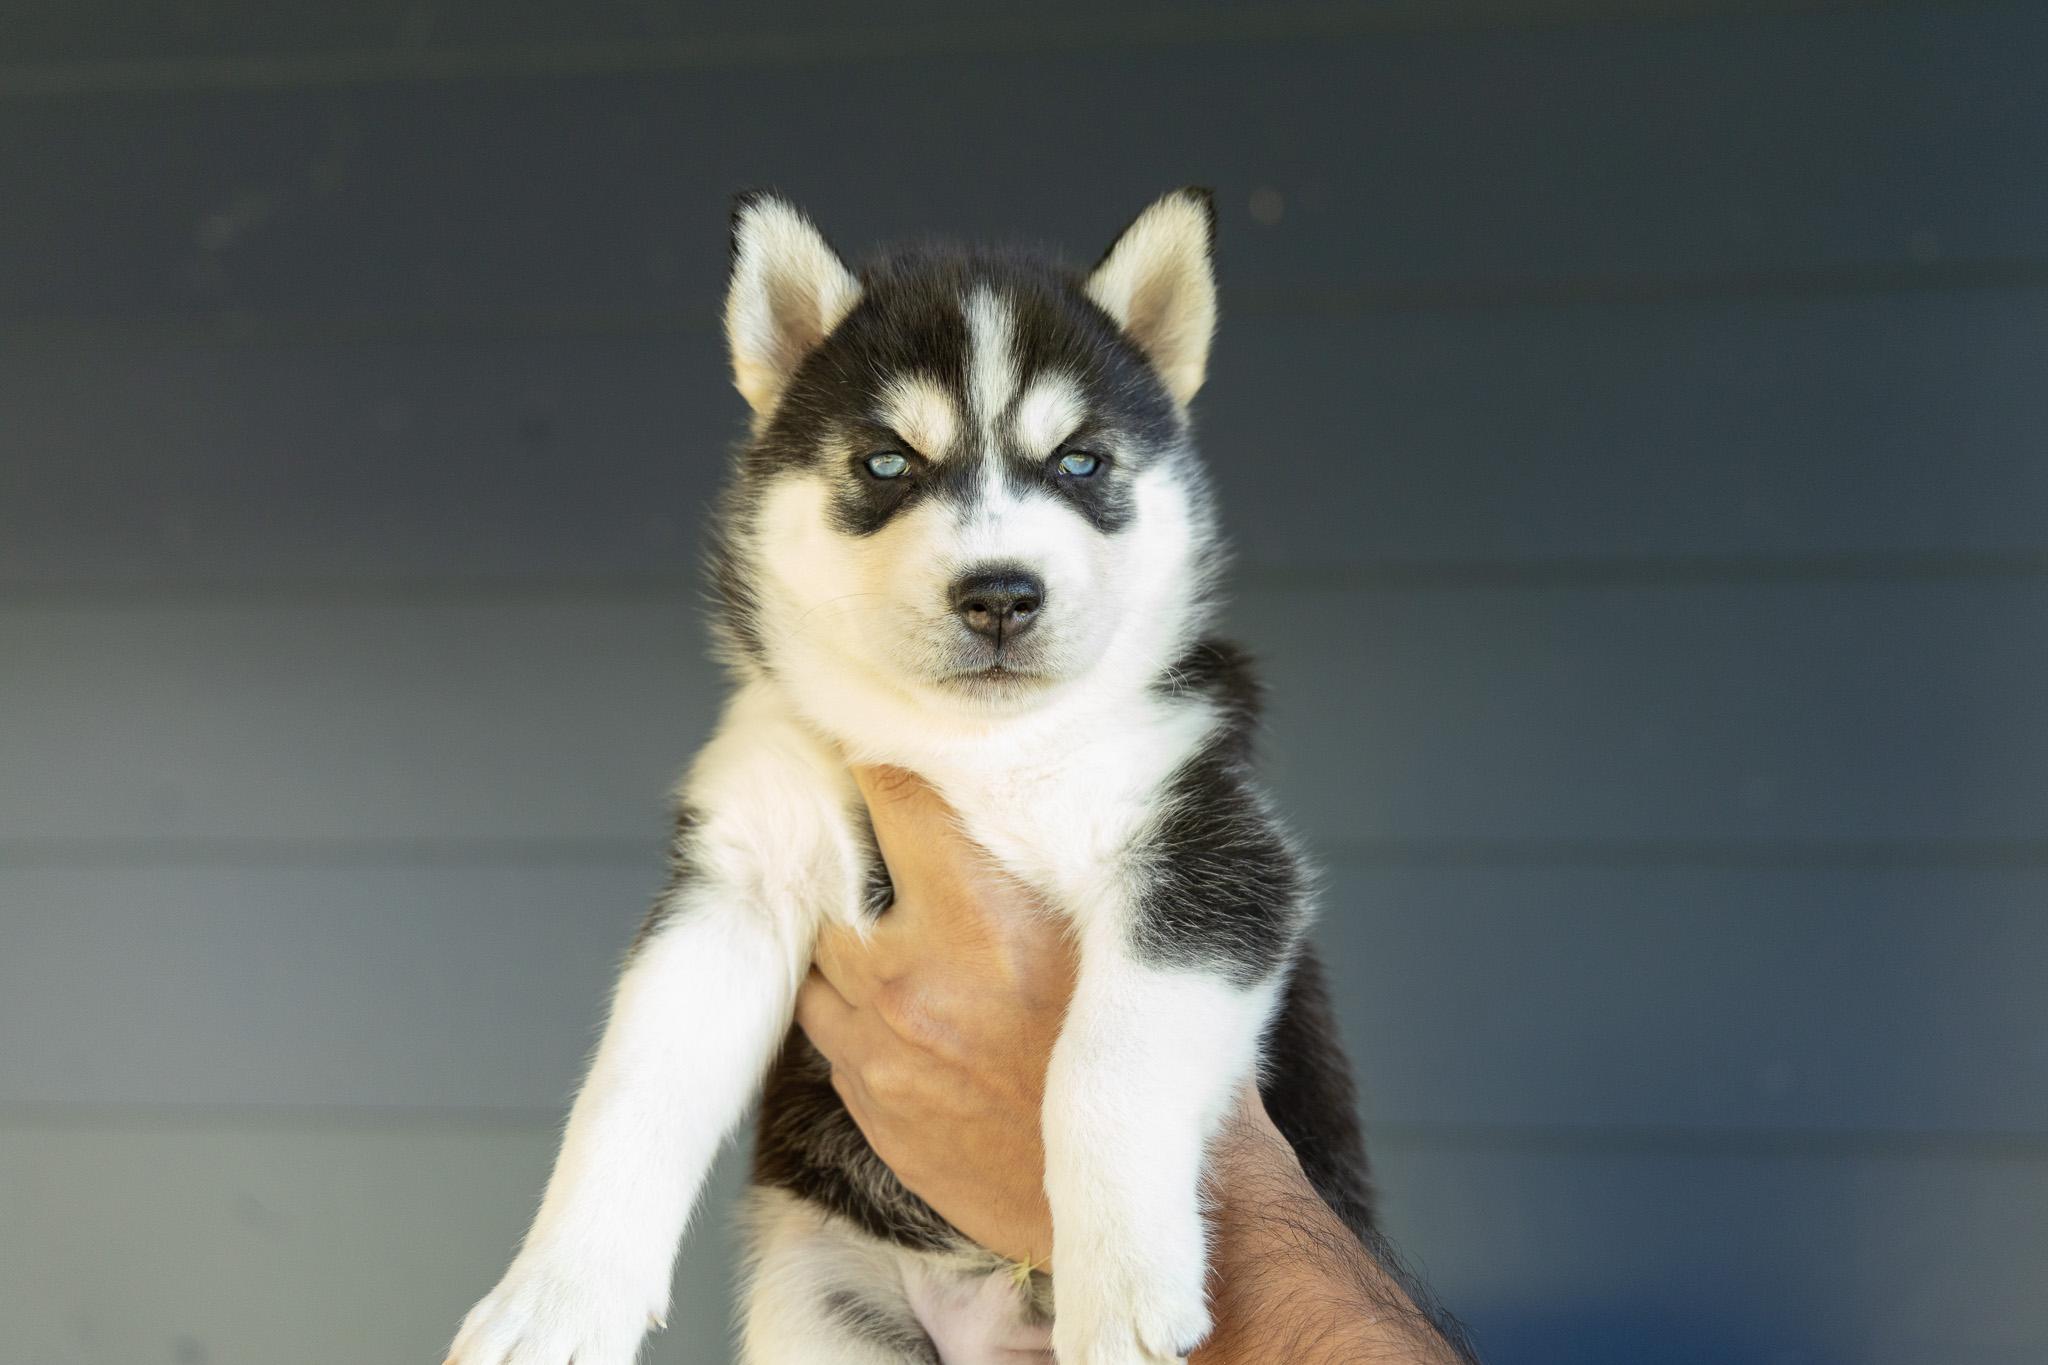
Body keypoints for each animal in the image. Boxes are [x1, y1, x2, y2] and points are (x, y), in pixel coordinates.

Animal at [447, 189, 1375, 1365]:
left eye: (1080, 463)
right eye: (889, 463)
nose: (1000, 593)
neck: (966, 747)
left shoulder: (1207, 849)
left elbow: (1104, 1064)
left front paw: (1123, 1285)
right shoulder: (740, 872)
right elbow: (634, 1082)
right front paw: (557, 1296)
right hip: (828, 1311)